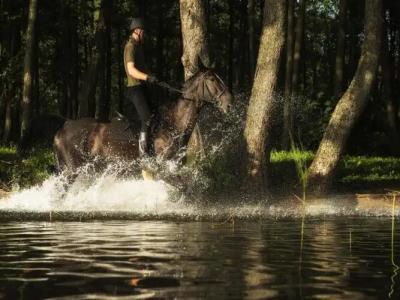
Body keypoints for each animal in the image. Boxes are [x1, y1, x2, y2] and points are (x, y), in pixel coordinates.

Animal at [54, 67, 233, 176]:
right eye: (211, 79)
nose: (229, 103)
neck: (173, 123)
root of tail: (63, 129)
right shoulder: (164, 167)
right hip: (72, 170)